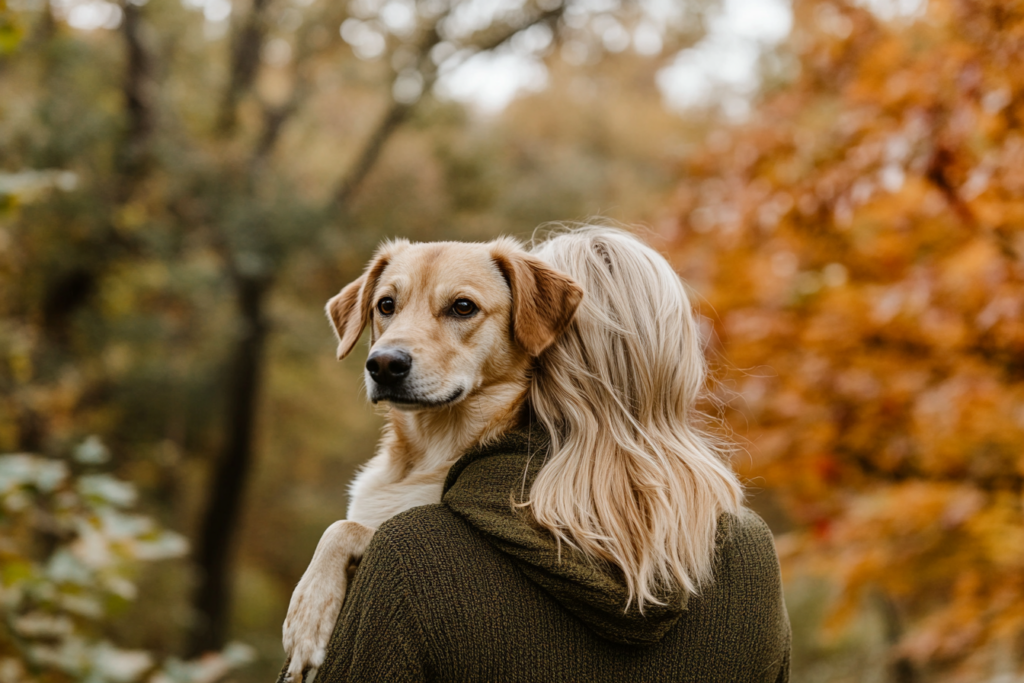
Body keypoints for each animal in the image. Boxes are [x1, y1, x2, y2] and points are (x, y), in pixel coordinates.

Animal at [280, 237, 585, 679]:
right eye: (386, 305)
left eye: (463, 307)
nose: (383, 363)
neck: (426, 452)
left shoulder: (391, 533)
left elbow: (343, 528)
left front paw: (308, 617)